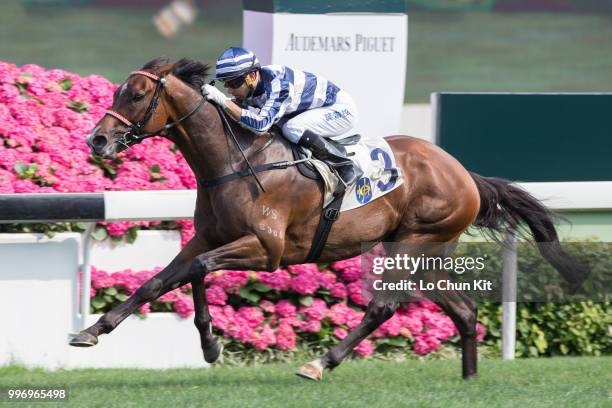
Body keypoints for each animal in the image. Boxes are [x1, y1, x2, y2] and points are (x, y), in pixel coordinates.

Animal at [70, 59, 588, 380]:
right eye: (118, 90)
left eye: (137, 95)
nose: (97, 140)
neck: (235, 161)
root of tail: (463, 172)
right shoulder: (208, 238)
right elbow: (158, 282)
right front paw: (91, 332)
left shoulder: (267, 249)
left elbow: (196, 271)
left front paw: (210, 344)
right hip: (429, 253)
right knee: (464, 310)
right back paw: (469, 378)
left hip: (411, 244)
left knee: (383, 307)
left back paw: (321, 363)